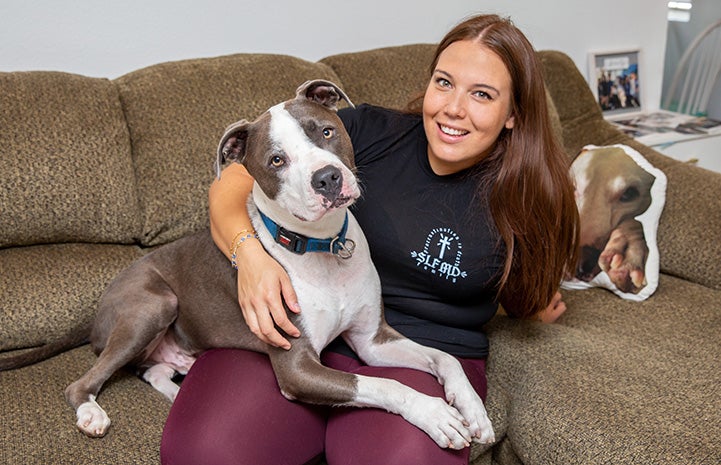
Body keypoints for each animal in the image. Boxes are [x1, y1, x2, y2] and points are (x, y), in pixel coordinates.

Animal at [63, 79, 496, 446]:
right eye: (276, 160)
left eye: (325, 131)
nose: (327, 178)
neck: (324, 246)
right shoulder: (298, 367)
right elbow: (381, 384)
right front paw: (436, 414)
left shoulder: (372, 341)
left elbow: (445, 358)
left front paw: (472, 408)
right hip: (155, 305)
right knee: (80, 384)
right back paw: (91, 414)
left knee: (154, 370)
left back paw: (174, 392)